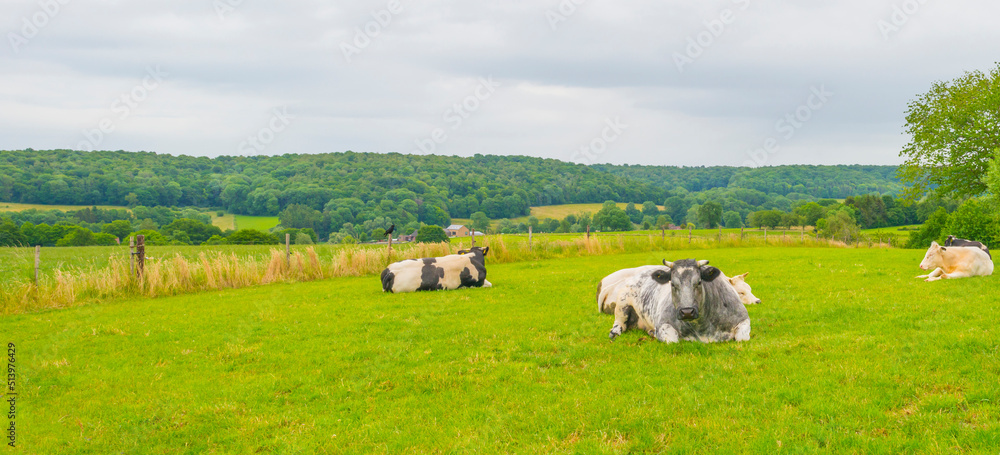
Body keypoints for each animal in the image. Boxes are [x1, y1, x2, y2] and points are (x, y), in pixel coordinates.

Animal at [592, 260, 752, 342]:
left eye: (699, 282)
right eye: (672, 284)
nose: (687, 312)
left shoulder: (743, 320)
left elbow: (742, 338)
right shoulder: (664, 324)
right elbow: (671, 339)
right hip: (622, 304)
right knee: (619, 324)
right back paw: (615, 332)